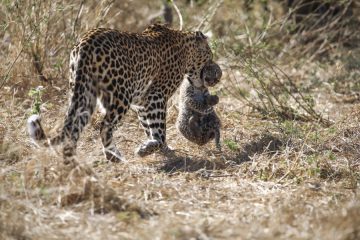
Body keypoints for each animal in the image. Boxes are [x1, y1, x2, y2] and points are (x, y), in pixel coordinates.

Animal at [26, 23, 217, 163]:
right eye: (209, 55)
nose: (213, 71)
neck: (185, 47)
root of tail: (85, 44)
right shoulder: (155, 96)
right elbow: (159, 129)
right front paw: (151, 149)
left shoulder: (142, 102)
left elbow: (149, 127)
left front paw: (157, 148)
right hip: (120, 96)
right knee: (105, 126)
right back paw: (113, 156)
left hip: (84, 93)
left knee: (74, 127)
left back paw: (72, 161)